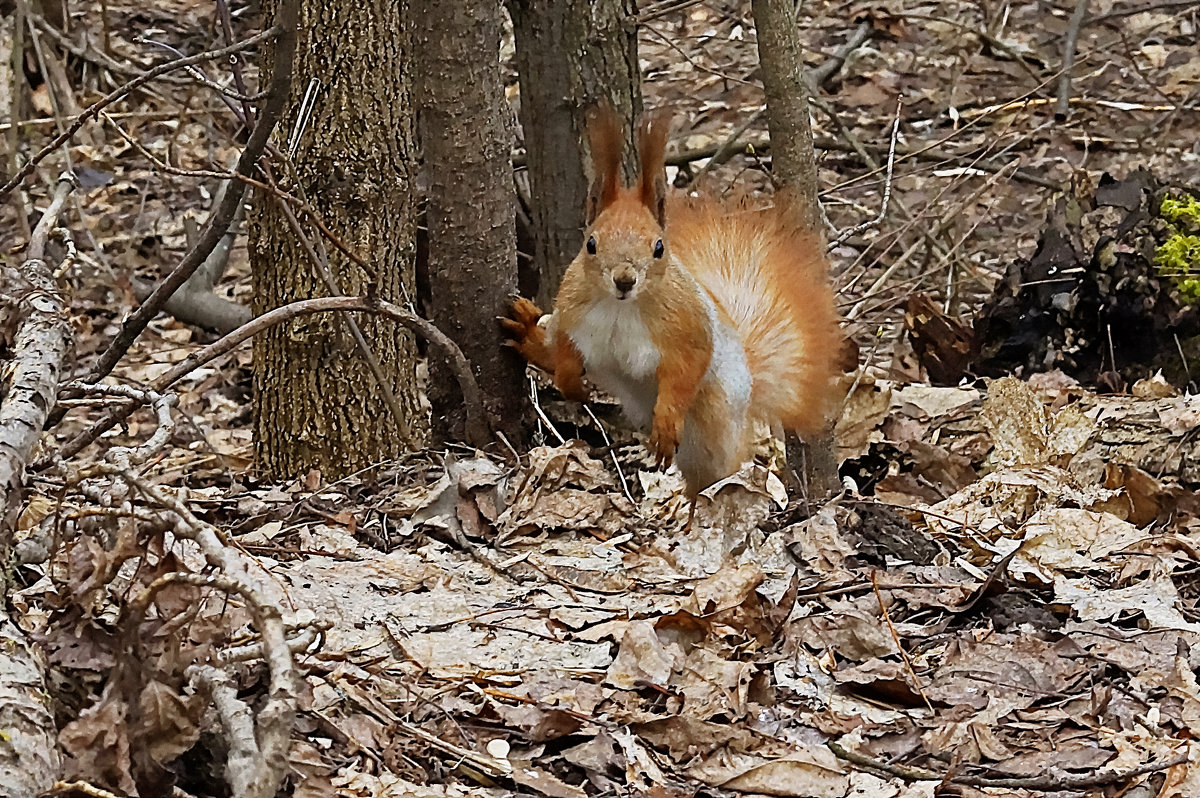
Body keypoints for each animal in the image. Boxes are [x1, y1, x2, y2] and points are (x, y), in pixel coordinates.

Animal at [501, 107, 840, 499]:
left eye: (659, 246)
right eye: (591, 243)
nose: (624, 280)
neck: (621, 308)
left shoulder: (688, 329)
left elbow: (684, 373)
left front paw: (665, 421)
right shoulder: (572, 314)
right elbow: (566, 350)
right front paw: (570, 381)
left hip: (716, 418)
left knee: (713, 471)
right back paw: (528, 334)